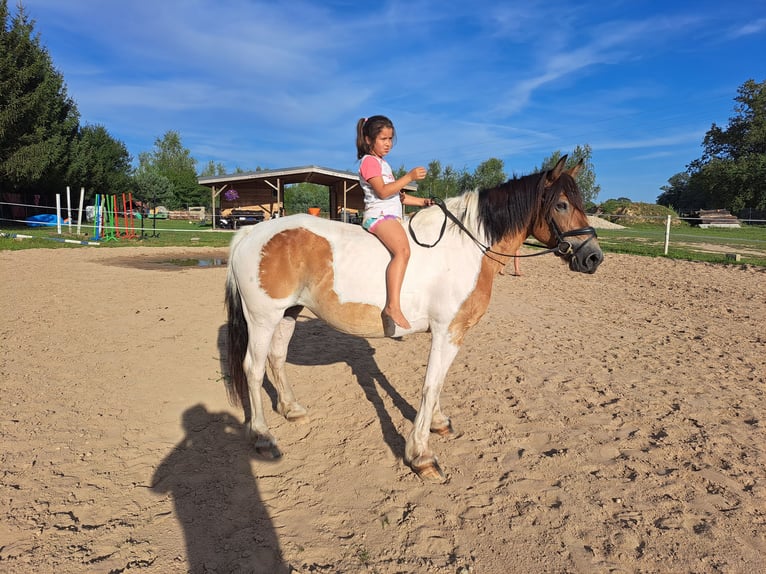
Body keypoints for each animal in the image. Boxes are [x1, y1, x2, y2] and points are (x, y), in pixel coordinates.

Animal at [225, 155, 604, 484]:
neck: (466, 246)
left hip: (287, 314)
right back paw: (262, 436)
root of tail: (252, 234)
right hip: (262, 318)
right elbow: (430, 385)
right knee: (253, 369)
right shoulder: (447, 332)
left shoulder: (450, 334)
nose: (594, 257)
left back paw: (291, 409)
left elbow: (437, 384)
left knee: (276, 359)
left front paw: (438, 423)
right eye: (561, 204)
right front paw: (421, 455)